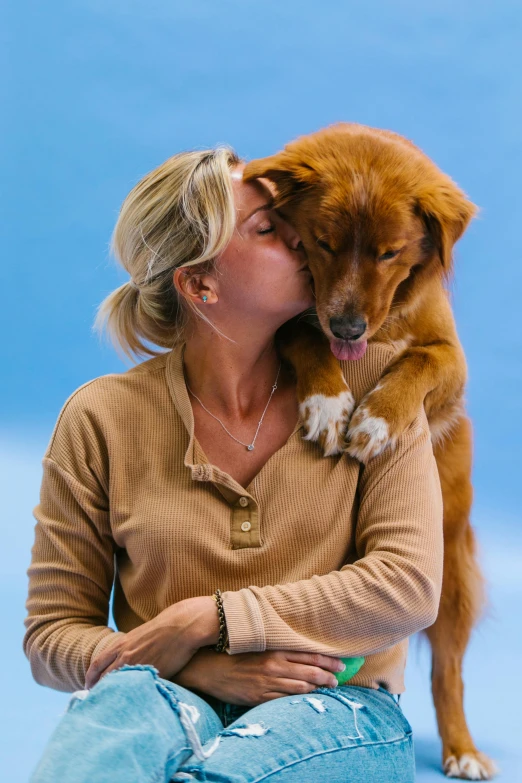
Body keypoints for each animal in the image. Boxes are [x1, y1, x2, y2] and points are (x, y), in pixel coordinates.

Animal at [244, 122, 496, 776]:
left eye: (389, 252)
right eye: (322, 242)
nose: (350, 329)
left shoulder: (451, 360)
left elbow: (418, 362)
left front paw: (377, 420)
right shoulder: (295, 322)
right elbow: (302, 333)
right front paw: (330, 404)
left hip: (450, 577)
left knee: (448, 675)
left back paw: (462, 750)